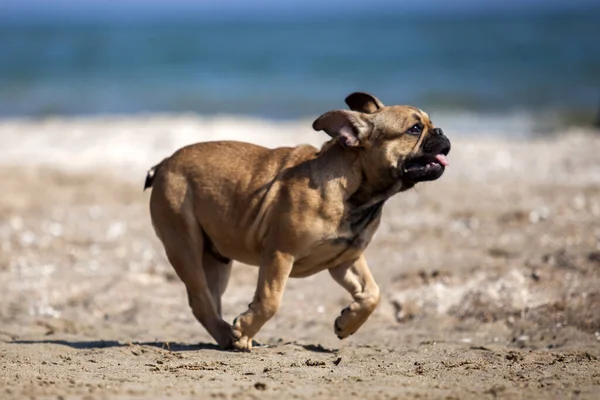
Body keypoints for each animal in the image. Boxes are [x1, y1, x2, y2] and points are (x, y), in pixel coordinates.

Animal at [144, 93, 450, 350]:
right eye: (414, 129)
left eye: (430, 124)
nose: (441, 132)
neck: (357, 196)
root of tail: (164, 163)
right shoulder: (280, 253)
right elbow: (270, 300)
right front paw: (246, 327)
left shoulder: (345, 260)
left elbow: (371, 293)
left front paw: (347, 322)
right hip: (184, 243)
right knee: (200, 297)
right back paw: (234, 335)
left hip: (216, 258)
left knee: (210, 298)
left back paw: (226, 335)